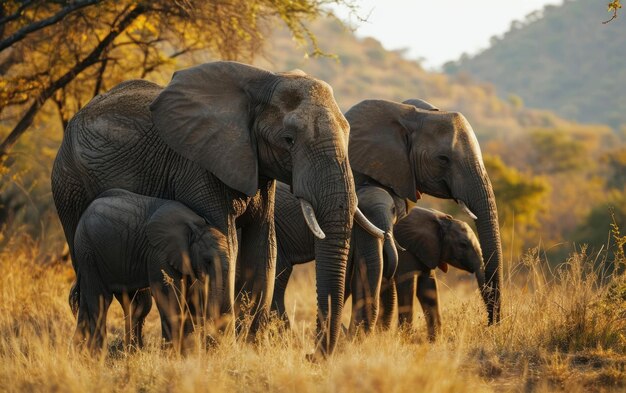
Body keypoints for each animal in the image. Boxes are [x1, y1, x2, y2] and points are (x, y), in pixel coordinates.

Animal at [72, 188, 229, 350]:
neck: (196, 227)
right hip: (88, 252)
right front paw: (171, 351)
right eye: (208, 260)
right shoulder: (158, 253)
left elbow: (188, 294)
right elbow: (168, 295)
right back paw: (97, 353)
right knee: (100, 299)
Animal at [378, 205, 486, 340]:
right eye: (463, 245)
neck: (440, 220)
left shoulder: (427, 249)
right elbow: (406, 285)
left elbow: (427, 289)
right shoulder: (404, 247)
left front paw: (435, 340)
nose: (490, 324)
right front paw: (404, 338)